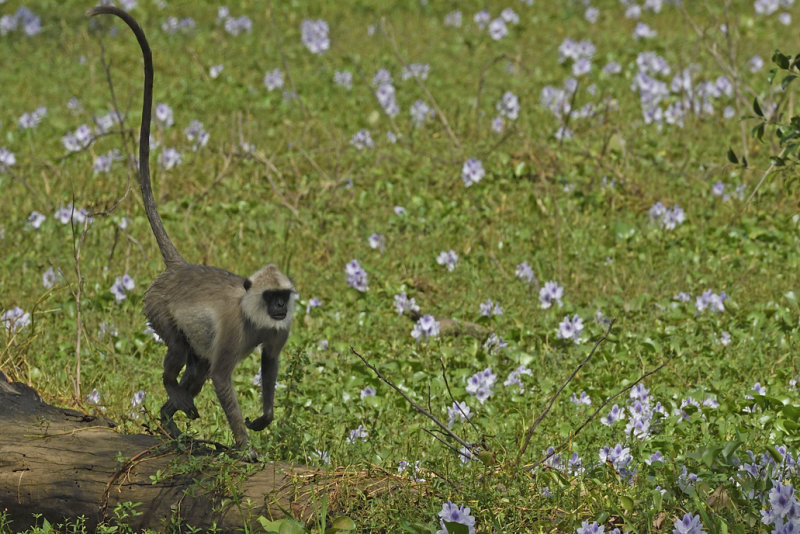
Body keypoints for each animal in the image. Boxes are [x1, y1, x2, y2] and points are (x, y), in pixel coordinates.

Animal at [88, 6, 294, 462]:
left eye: (282, 297)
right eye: (270, 297)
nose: (278, 308)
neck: (253, 314)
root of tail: (178, 268)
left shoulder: (279, 331)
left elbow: (269, 364)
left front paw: (265, 417)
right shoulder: (233, 328)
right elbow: (222, 378)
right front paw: (245, 447)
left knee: (196, 367)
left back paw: (170, 416)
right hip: (156, 307)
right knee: (184, 354)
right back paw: (172, 398)